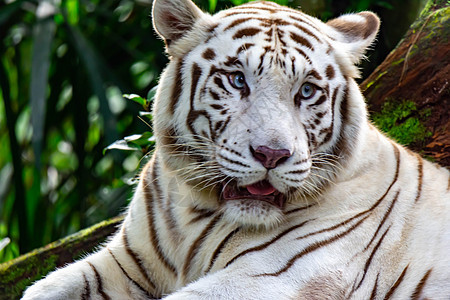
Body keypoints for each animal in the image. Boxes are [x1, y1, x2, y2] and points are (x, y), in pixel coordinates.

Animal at [23, 0, 450, 300]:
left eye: (306, 91)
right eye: (237, 80)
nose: (271, 154)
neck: (195, 214)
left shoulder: (272, 278)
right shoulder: (125, 262)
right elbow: (43, 288)